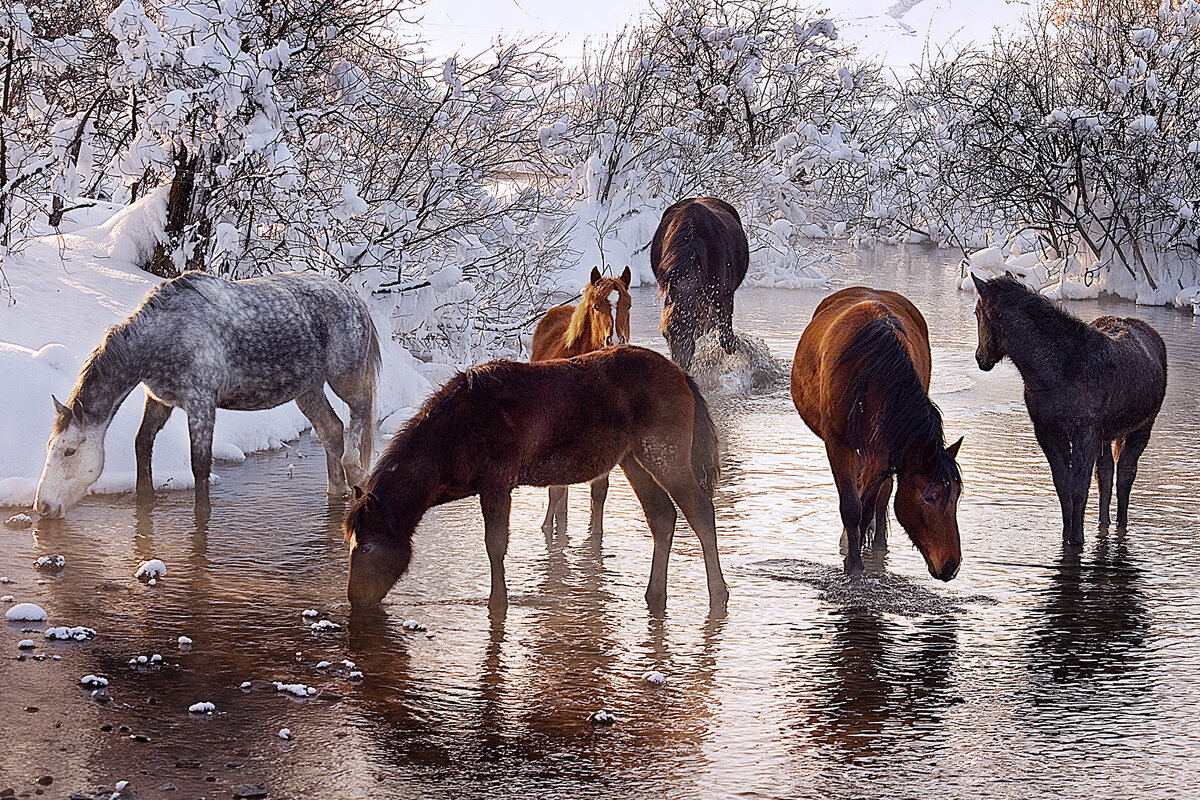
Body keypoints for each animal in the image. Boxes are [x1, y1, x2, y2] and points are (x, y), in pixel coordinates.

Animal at [35, 271, 376, 520]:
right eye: (49, 447)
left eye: (69, 451)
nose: (44, 506)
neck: (163, 338)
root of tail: (353, 298)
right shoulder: (159, 401)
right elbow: (142, 444)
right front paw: (146, 500)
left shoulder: (201, 403)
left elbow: (200, 465)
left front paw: (203, 516)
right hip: (308, 390)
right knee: (331, 430)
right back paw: (336, 490)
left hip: (345, 376)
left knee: (359, 412)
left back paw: (355, 469)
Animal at [343, 347, 724, 618]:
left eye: (367, 546)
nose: (355, 599)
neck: (454, 433)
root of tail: (682, 375)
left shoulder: (497, 484)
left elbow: (495, 545)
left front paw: (498, 601)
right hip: (634, 460)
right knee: (662, 518)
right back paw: (655, 594)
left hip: (664, 455)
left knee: (700, 513)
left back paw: (719, 593)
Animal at [530, 267, 633, 537]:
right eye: (597, 306)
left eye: (628, 305)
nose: (615, 341)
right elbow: (556, 491)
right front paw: (547, 530)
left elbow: (598, 492)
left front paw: (596, 536)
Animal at [787, 287, 964, 582]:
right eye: (929, 496)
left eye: (957, 496)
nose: (952, 565)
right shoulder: (838, 443)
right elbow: (851, 506)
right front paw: (853, 566)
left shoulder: (887, 449)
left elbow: (870, 503)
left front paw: (859, 554)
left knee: (881, 495)